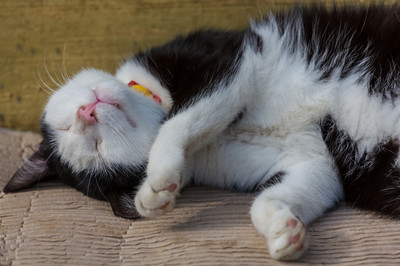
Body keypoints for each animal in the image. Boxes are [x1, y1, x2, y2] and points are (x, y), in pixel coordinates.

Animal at [4, 4, 400, 260]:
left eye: (66, 125)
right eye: (96, 147)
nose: (86, 114)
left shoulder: (227, 58)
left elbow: (180, 120)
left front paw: (156, 185)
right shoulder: (310, 158)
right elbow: (298, 186)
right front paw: (283, 230)